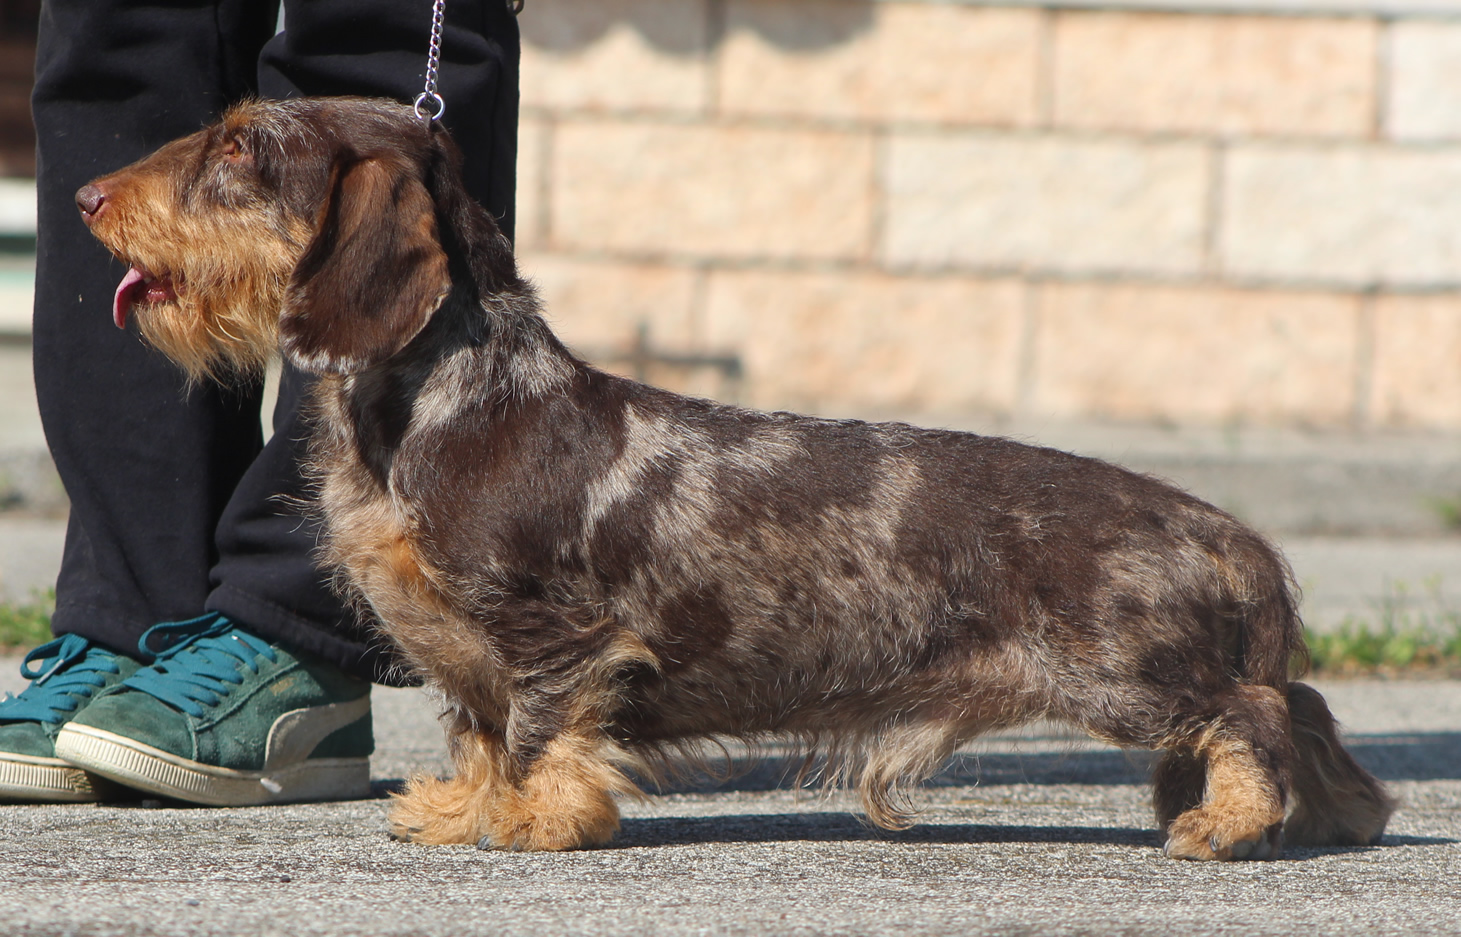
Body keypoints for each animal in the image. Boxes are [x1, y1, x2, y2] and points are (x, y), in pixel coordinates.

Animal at [77, 96, 1390, 853]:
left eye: (240, 147)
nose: (85, 195)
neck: (458, 397)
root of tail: (1229, 530)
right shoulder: (461, 647)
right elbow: (475, 729)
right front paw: (461, 808)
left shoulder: (552, 631)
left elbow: (541, 729)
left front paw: (535, 820)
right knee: (1301, 710)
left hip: (1126, 675)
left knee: (1257, 709)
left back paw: (1228, 820)